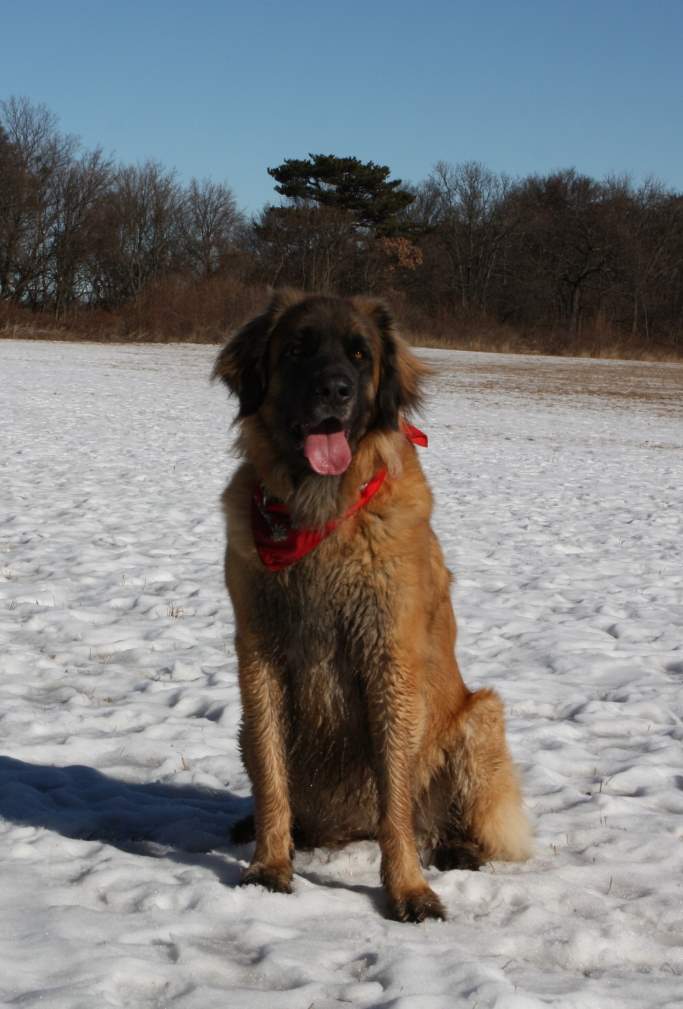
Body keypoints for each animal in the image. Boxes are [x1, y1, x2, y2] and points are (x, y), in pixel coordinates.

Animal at [215, 292, 528, 924]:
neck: (320, 515)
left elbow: (395, 799)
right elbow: (271, 774)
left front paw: (408, 889)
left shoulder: (389, 661)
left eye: (360, 356)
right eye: (297, 349)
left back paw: (459, 849)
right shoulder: (259, 658)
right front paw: (270, 864)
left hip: (481, 719)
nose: (335, 390)